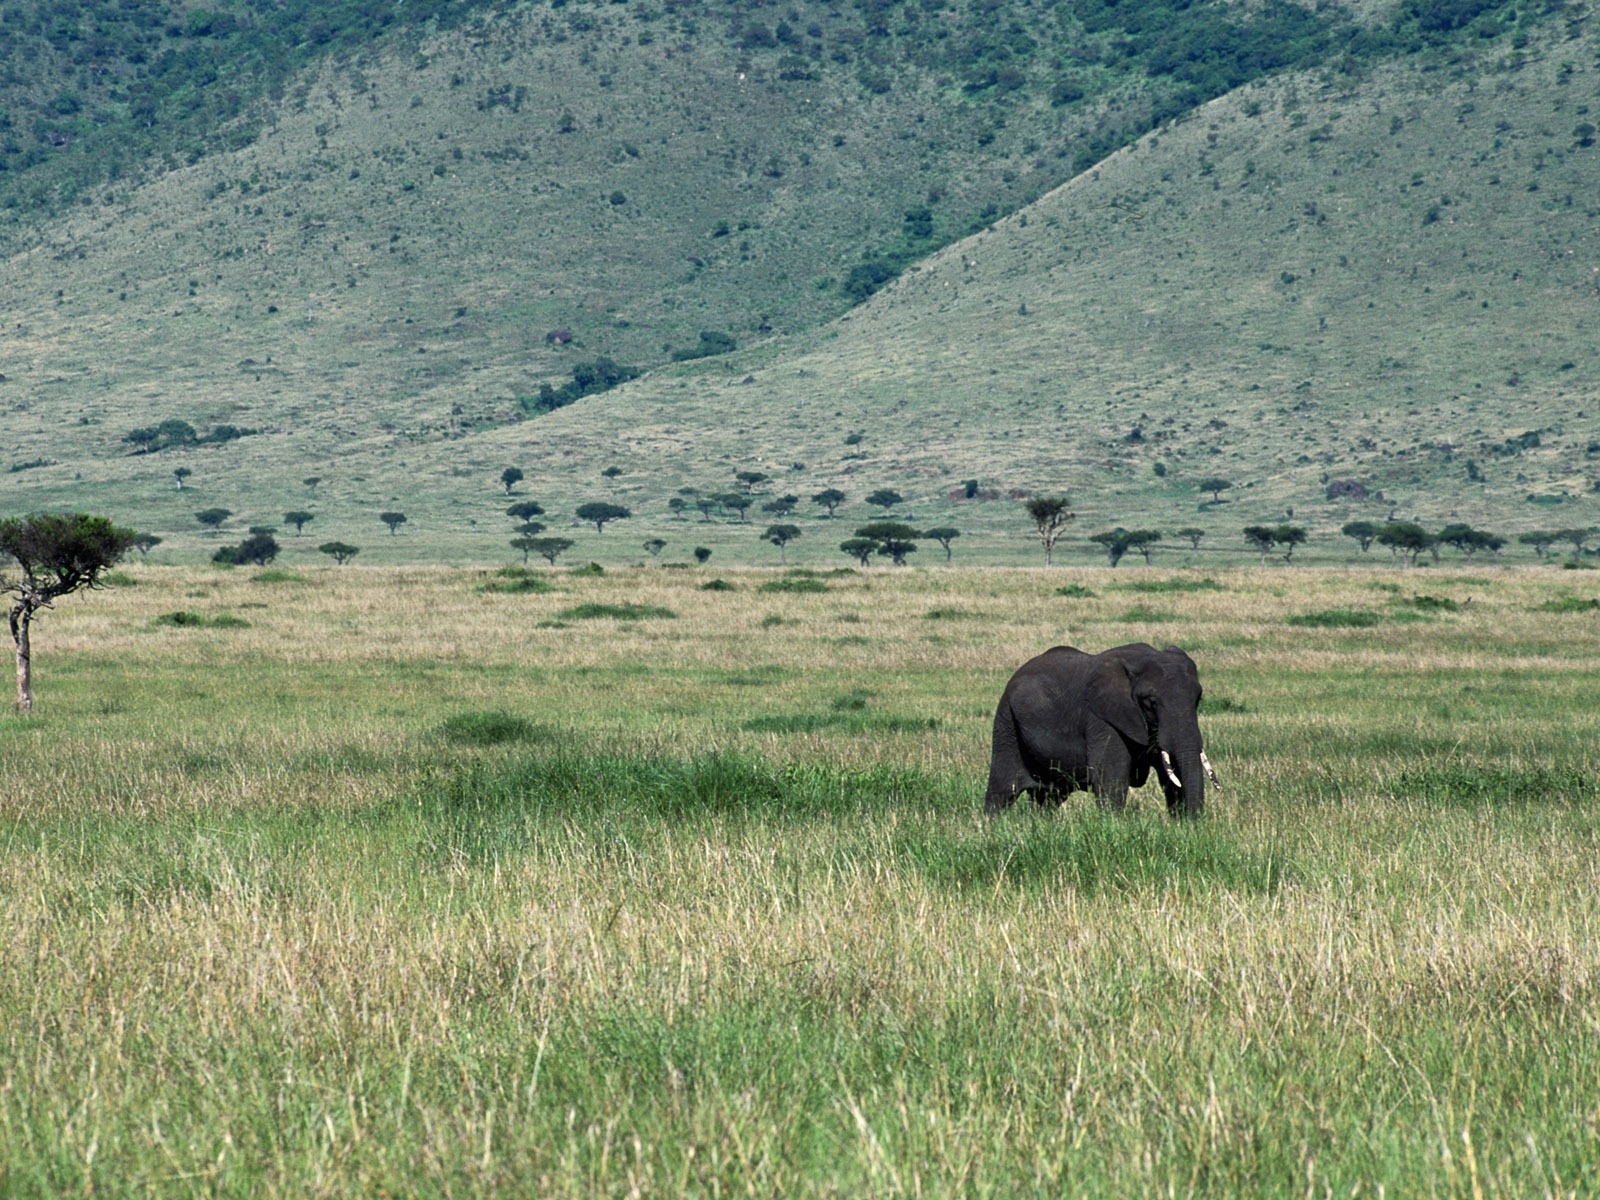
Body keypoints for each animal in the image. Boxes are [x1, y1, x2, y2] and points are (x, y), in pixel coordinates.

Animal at [979, 643, 1216, 825]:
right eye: (1151, 702)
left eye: (1198, 698)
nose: (1194, 823)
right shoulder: (1102, 719)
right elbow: (1111, 777)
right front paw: (1115, 827)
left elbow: (1171, 774)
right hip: (1006, 722)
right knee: (1002, 790)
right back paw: (990, 827)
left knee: (1048, 797)